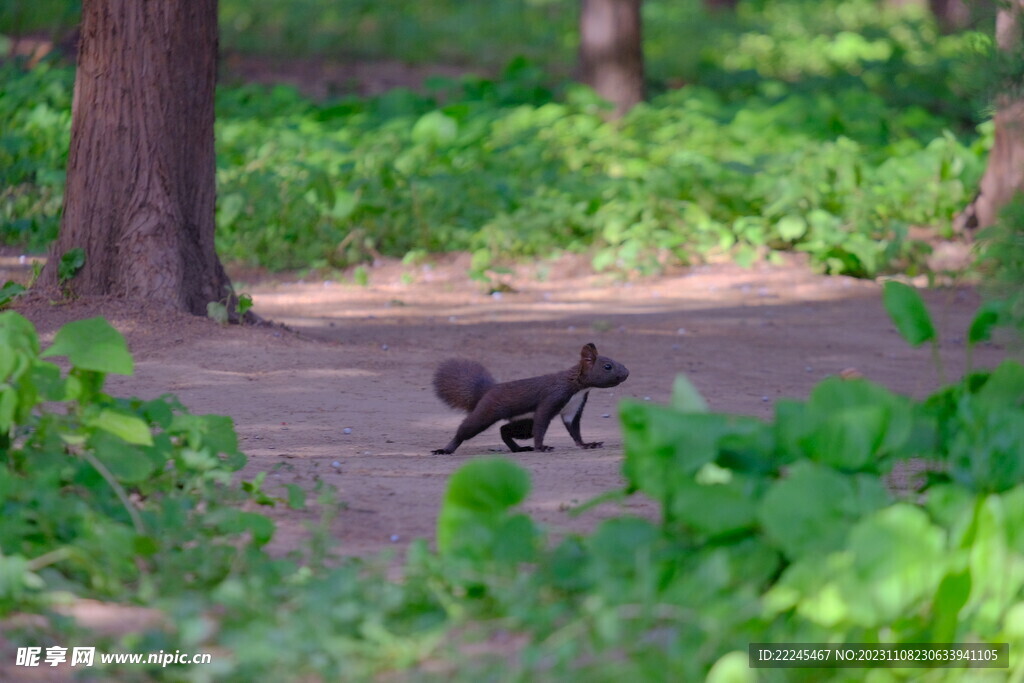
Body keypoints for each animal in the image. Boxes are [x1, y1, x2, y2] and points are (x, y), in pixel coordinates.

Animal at [430, 342, 626, 454]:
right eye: (607, 366)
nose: (627, 373)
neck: (578, 388)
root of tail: (487, 390)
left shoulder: (574, 406)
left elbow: (574, 429)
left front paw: (587, 444)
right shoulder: (552, 398)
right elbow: (541, 423)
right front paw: (542, 447)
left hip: (523, 424)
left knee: (504, 430)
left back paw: (519, 448)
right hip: (487, 411)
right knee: (466, 430)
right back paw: (445, 450)